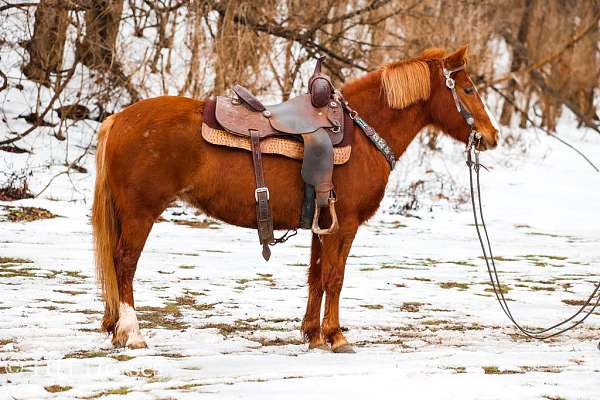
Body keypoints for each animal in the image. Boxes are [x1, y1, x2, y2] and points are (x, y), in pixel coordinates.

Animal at [91, 46, 500, 350]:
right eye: (468, 90)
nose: (491, 135)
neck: (363, 133)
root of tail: (118, 119)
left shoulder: (322, 224)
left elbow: (316, 276)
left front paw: (313, 334)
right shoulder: (344, 225)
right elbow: (335, 276)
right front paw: (336, 336)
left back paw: (115, 328)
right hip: (141, 213)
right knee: (124, 264)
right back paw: (133, 333)